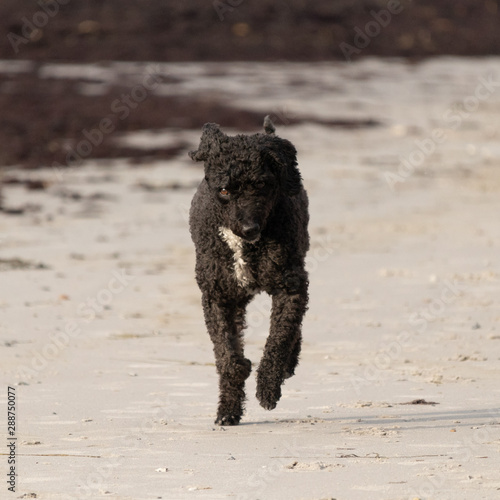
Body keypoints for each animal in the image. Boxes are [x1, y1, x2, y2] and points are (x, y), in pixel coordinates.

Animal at [188, 117, 308, 426]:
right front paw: (229, 406)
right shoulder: (217, 296)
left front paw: (268, 386)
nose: (249, 228)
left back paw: (288, 365)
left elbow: (279, 337)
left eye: (262, 184)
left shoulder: (291, 286)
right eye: (224, 190)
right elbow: (227, 356)